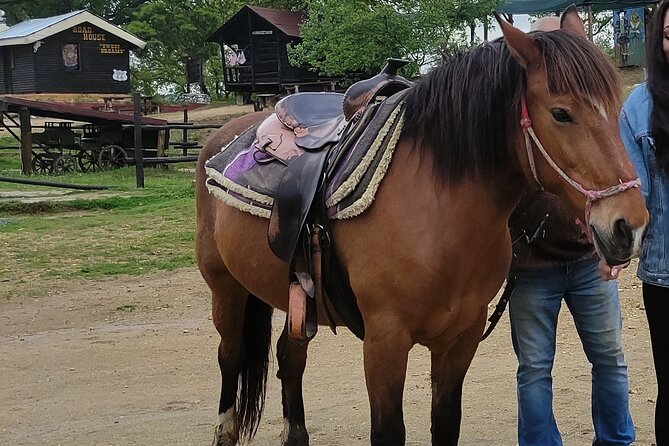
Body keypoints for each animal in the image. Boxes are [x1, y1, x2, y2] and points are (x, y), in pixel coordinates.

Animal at [195, 11, 649, 446]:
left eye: (615, 105)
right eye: (560, 113)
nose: (629, 226)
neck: (436, 215)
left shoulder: (460, 337)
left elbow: (445, 423)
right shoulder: (385, 341)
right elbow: (388, 431)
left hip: (296, 297)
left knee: (290, 360)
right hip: (226, 288)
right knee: (230, 355)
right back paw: (224, 431)